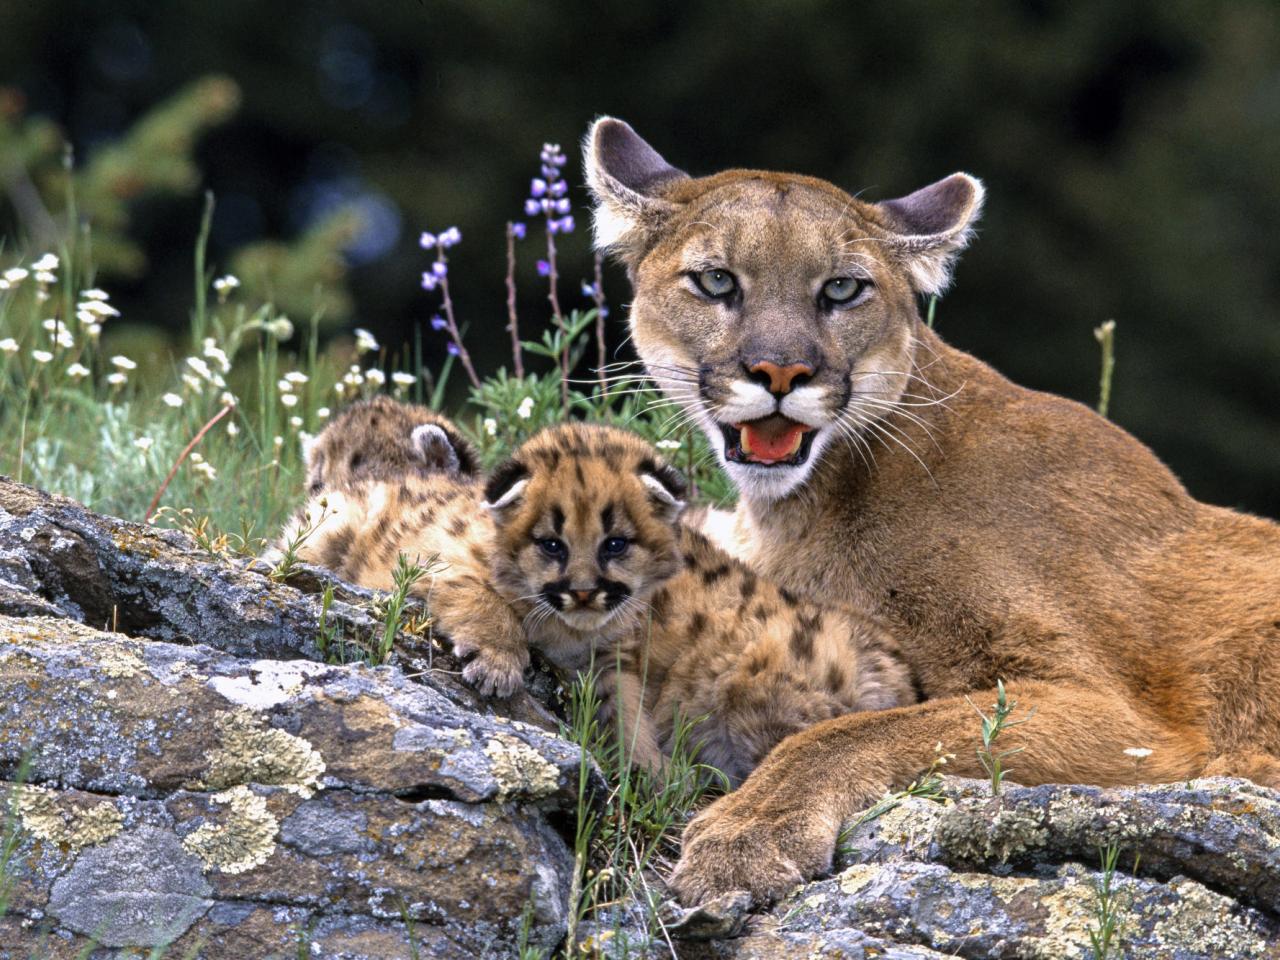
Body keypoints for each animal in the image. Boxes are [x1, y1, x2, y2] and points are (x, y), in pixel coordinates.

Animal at [583, 116, 1280, 906]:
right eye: (717, 281)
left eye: (843, 288)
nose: (782, 372)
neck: (813, 502)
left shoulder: (1121, 716)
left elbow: (853, 733)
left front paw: (747, 832)